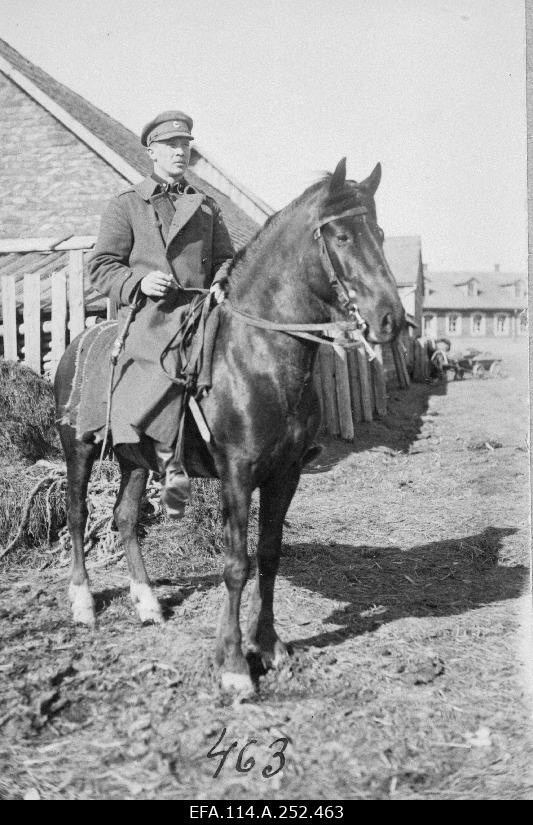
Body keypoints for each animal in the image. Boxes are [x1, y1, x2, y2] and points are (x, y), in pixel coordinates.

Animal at [54, 158, 404, 692]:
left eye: (380, 234)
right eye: (342, 236)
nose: (392, 319)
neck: (260, 358)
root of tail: (80, 340)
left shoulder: (285, 474)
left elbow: (270, 556)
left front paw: (270, 645)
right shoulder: (237, 476)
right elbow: (236, 565)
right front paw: (235, 663)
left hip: (136, 459)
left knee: (126, 518)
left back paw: (147, 602)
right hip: (78, 449)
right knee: (76, 515)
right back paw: (82, 602)